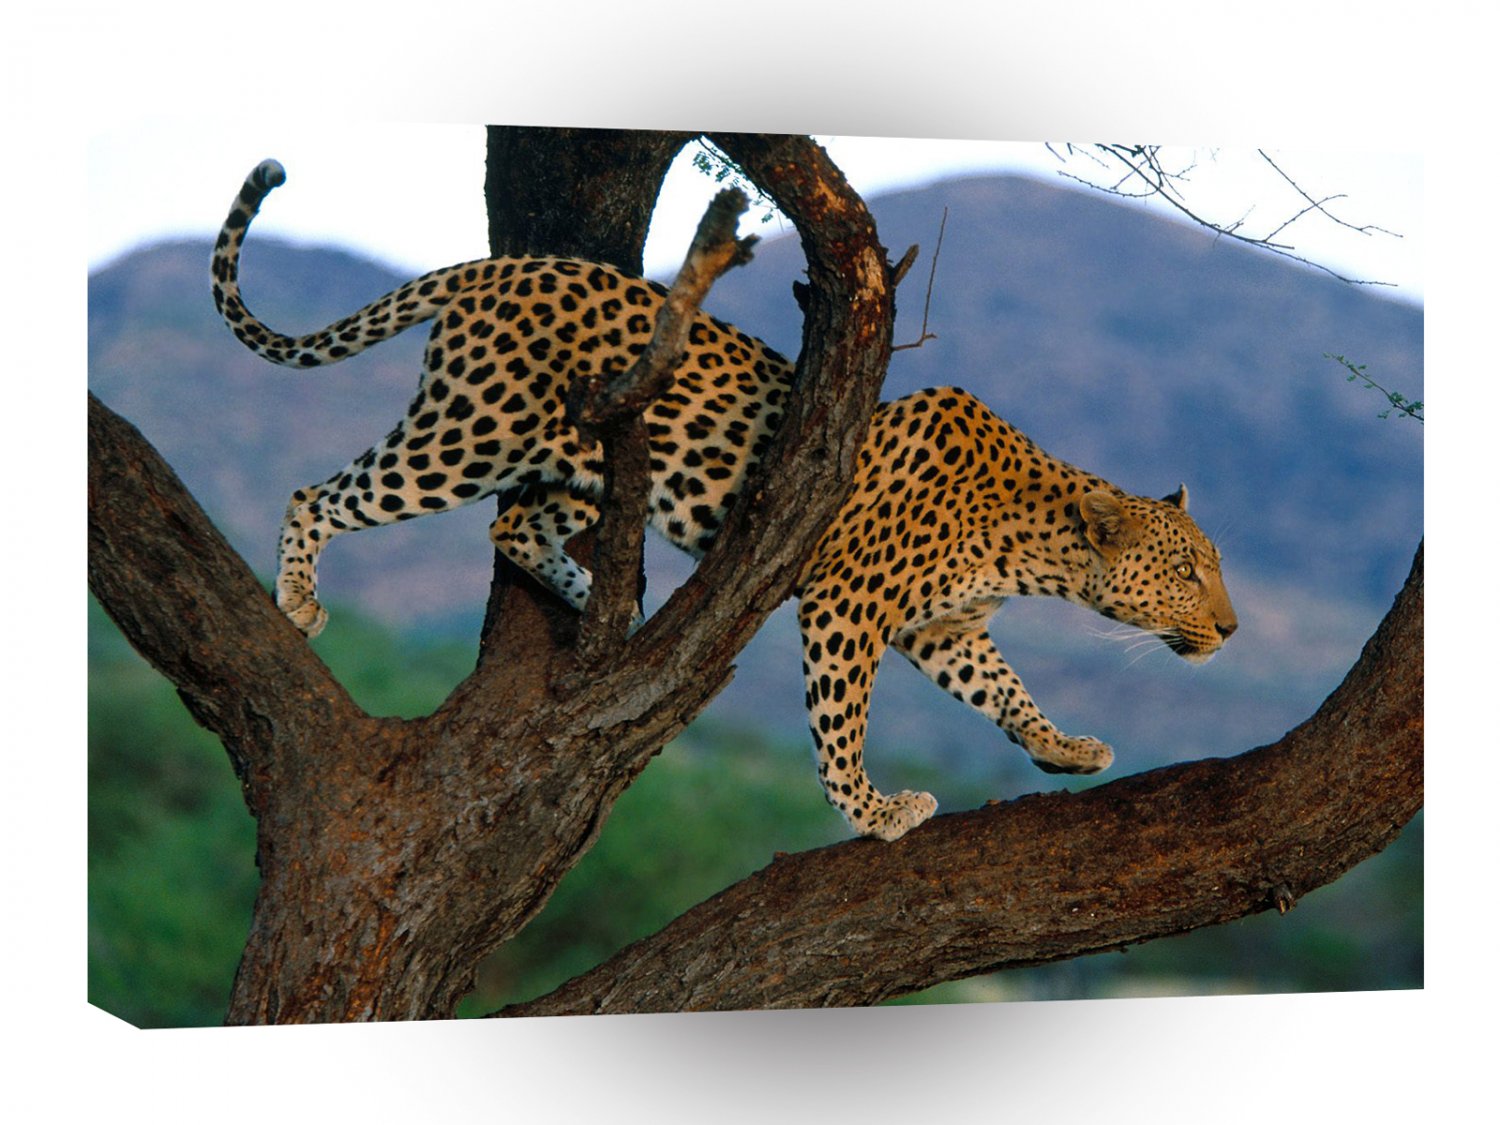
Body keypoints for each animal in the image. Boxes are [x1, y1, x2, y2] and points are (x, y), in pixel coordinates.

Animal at [212, 159, 1237, 842]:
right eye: (1191, 571)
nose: (1230, 630)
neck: (1034, 546)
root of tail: (502, 265)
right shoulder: (849, 605)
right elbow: (841, 718)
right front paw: (874, 810)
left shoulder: (945, 626)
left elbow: (1007, 688)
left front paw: (1061, 746)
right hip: (467, 436)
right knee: (323, 493)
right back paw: (300, 597)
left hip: (583, 463)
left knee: (516, 523)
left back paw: (613, 609)